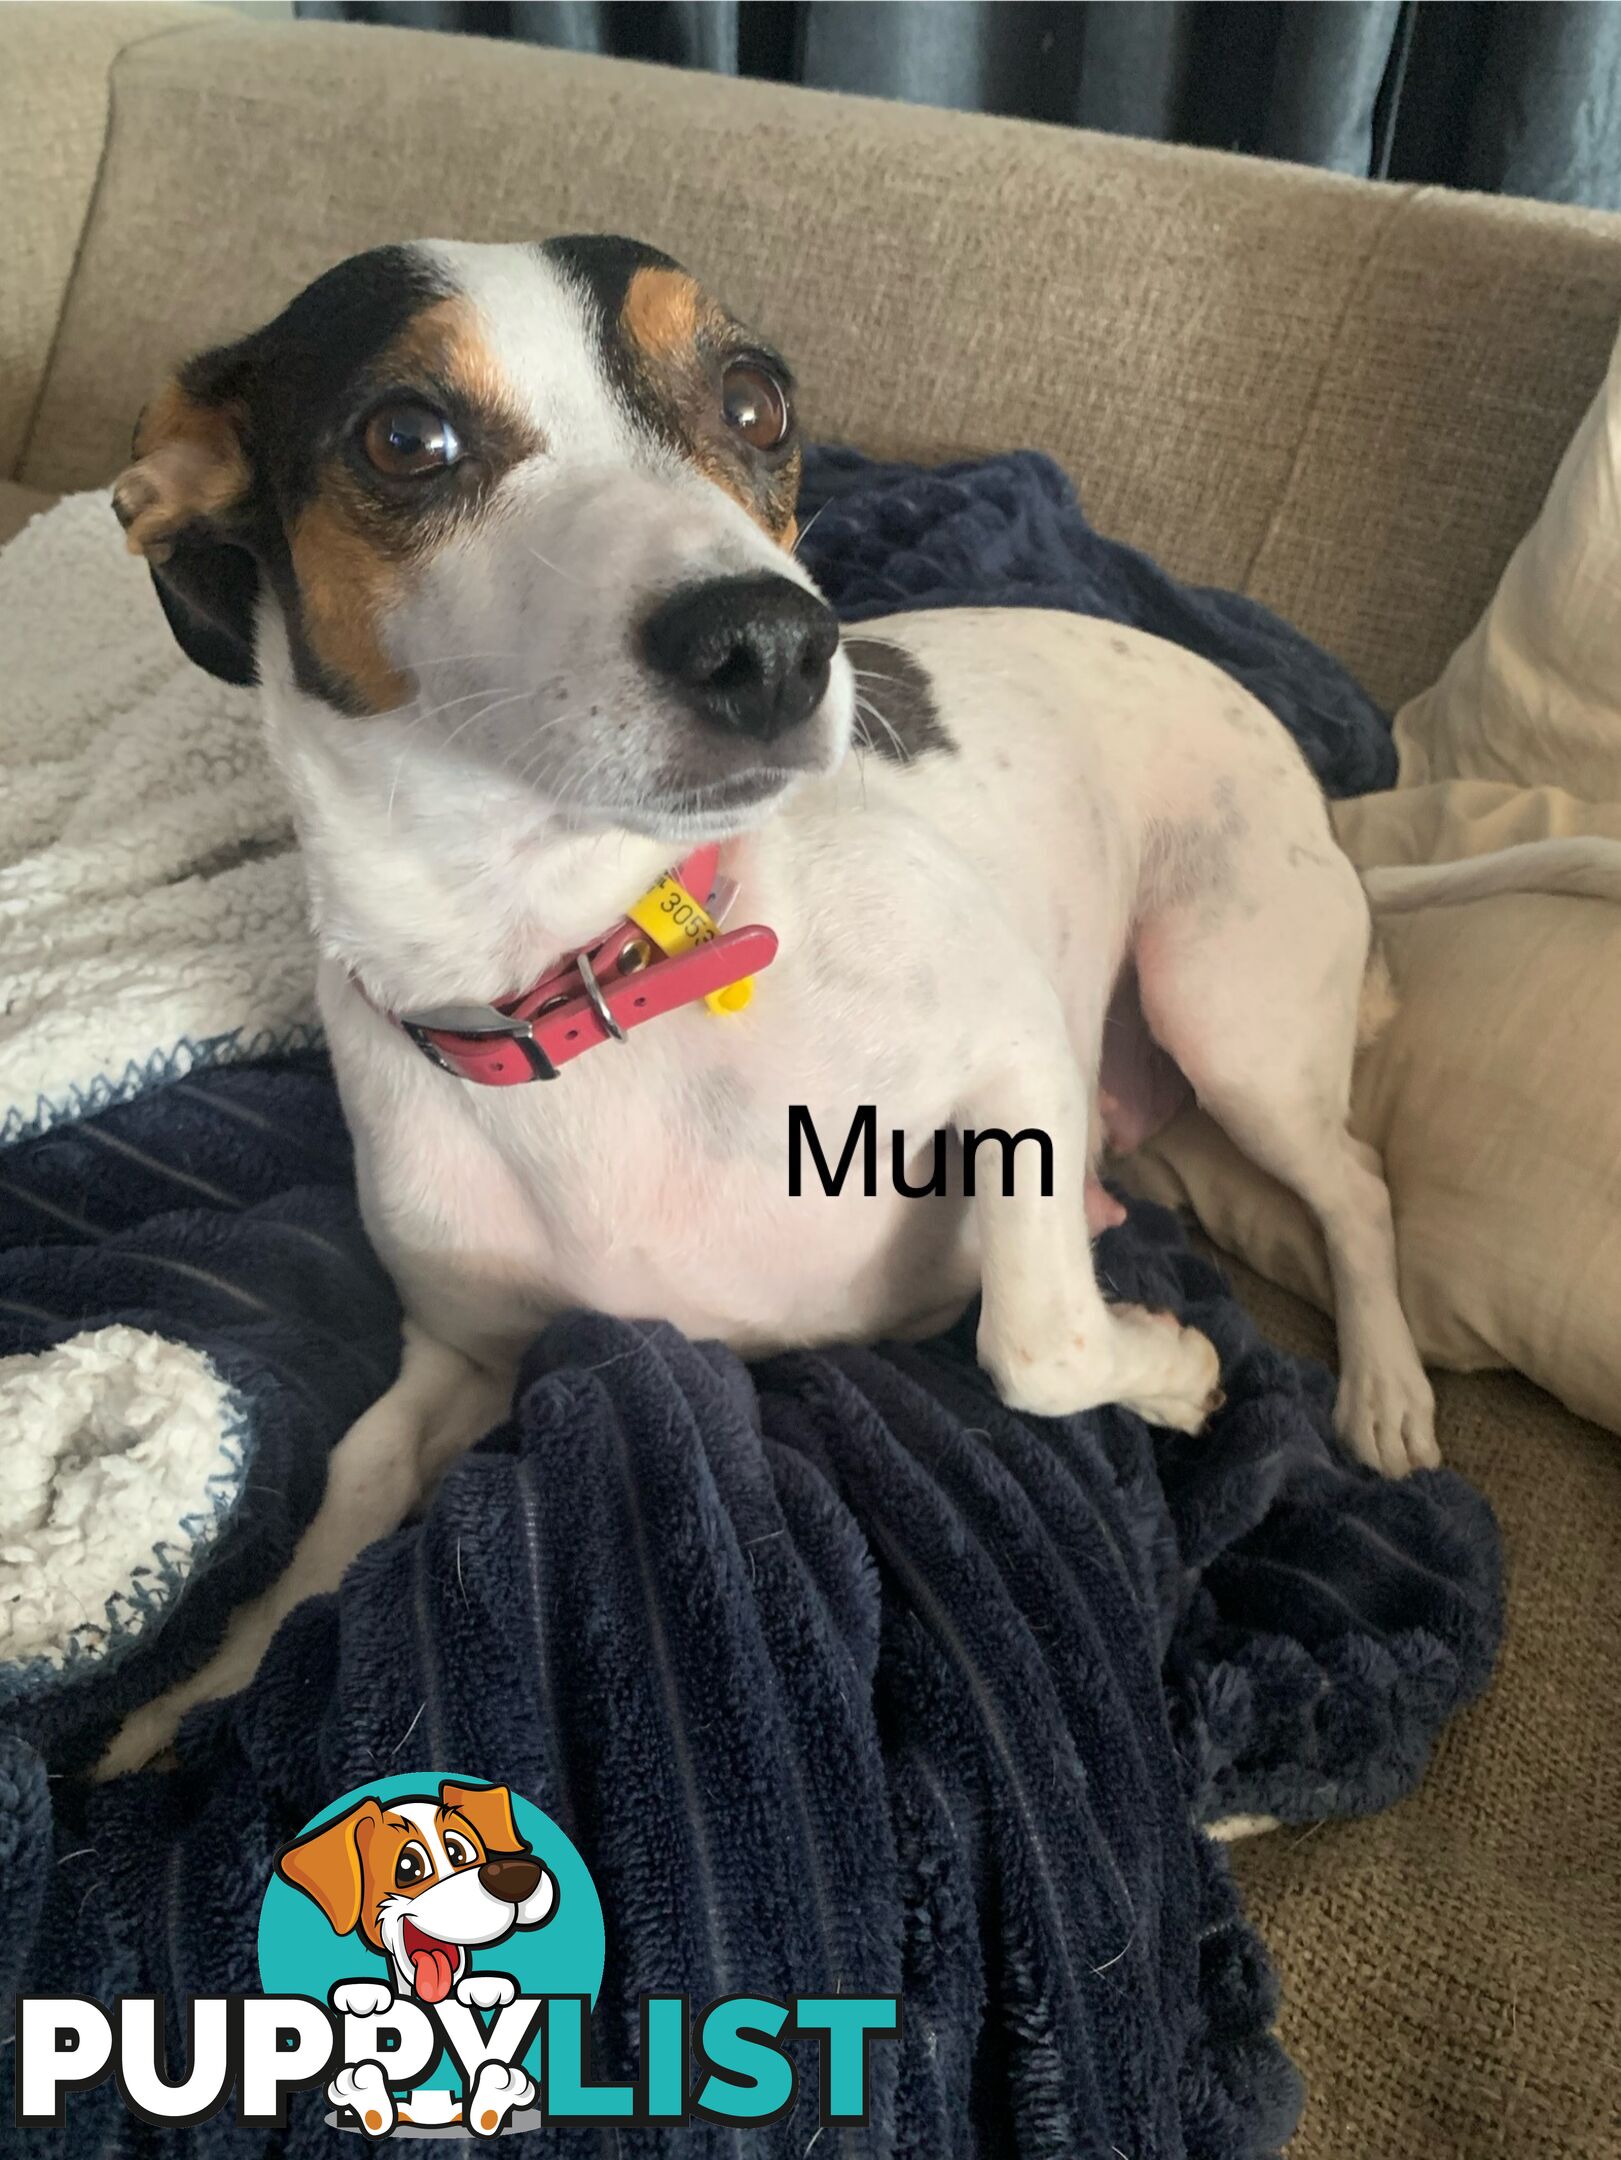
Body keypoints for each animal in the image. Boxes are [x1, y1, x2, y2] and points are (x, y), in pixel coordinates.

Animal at [98, 240, 1621, 1788]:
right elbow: (347, 1493)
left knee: (1356, 1188)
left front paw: (1179, 1367)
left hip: (1225, 1006)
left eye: (755, 400)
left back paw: (1379, 1388)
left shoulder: (1015, 1054)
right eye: (407, 438)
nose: (770, 643)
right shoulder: (464, 1355)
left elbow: (1037, 1344)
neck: (590, 969)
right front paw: (195, 1696)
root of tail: (1325, 807)